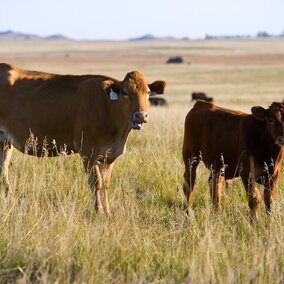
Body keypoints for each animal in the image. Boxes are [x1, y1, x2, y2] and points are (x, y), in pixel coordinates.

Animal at [0, 62, 166, 213]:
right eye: (125, 92)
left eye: (148, 92)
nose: (141, 115)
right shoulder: (88, 151)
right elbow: (96, 182)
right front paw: (98, 211)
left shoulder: (109, 154)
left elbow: (106, 183)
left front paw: (107, 211)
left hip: (4, 141)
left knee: (4, 168)